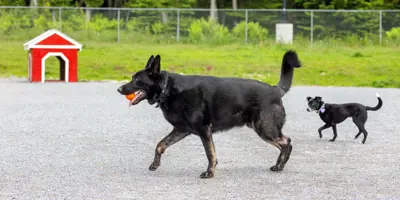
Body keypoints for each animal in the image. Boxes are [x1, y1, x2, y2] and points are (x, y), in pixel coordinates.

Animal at [117, 50, 302, 178]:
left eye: (136, 80)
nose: (119, 89)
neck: (167, 89)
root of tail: (275, 90)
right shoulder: (181, 130)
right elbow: (160, 145)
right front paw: (155, 164)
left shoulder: (204, 130)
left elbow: (210, 153)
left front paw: (209, 173)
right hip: (263, 130)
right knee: (284, 144)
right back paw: (279, 165)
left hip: (265, 129)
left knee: (287, 142)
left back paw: (280, 166)